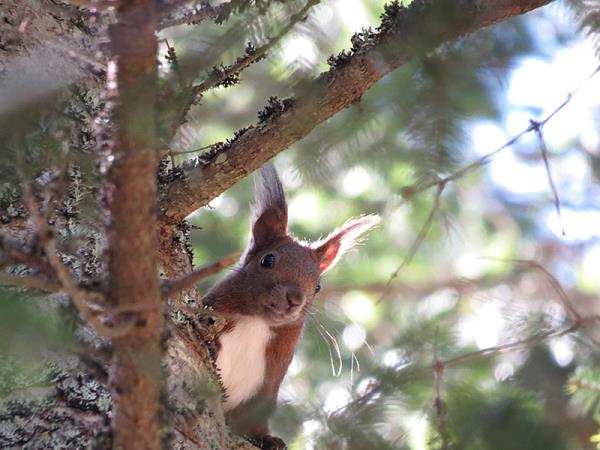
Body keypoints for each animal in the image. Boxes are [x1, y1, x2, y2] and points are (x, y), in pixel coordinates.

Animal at [203, 166, 380, 450]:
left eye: (317, 286)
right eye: (268, 260)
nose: (294, 299)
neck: (257, 322)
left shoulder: (266, 388)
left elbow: (254, 420)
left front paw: (268, 439)